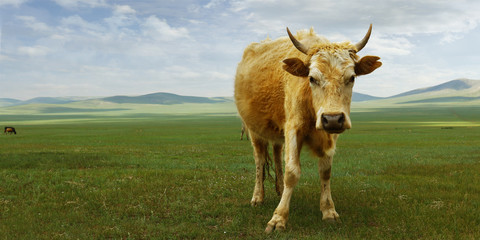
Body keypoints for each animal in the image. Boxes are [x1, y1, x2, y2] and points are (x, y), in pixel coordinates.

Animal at [234, 24, 380, 232]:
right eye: (312, 78)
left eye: (351, 78)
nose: (332, 119)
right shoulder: (293, 128)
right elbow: (292, 172)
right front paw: (278, 219)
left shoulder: (329, 135)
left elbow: (325, 171)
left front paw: (329, 211)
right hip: (254, 131)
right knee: (259, 160)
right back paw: (257, 197)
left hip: (278, 133)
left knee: (277, 154)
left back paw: (279, 190)